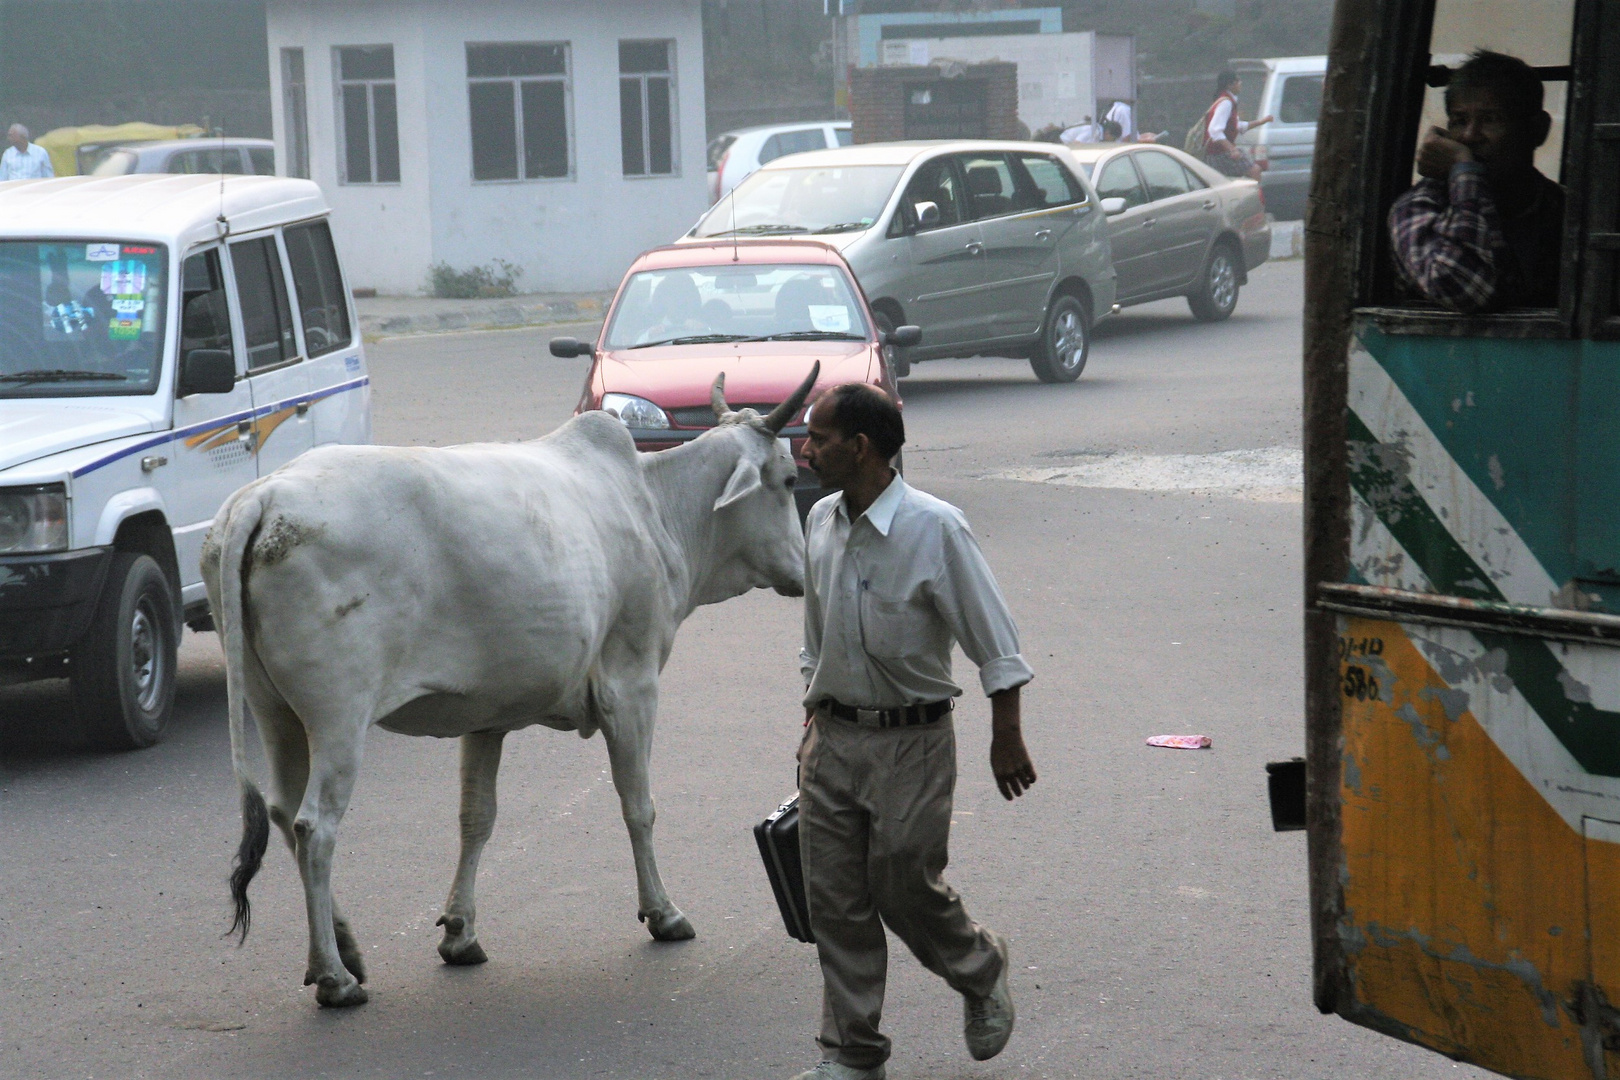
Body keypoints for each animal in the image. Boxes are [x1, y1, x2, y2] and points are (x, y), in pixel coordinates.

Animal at [197, 367, 816, 1010]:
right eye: (789, 479)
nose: (804, 568)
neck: (652, 507)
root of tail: (263, 496)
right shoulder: (632, 685)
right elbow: (637, 805)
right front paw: (663, 912)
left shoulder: (486, 718)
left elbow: (476, 818)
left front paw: (460, 932)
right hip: (339, 718)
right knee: (314, 828)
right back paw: (333, 975)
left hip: (274, 714)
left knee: (281, 812)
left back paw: (347, 948)